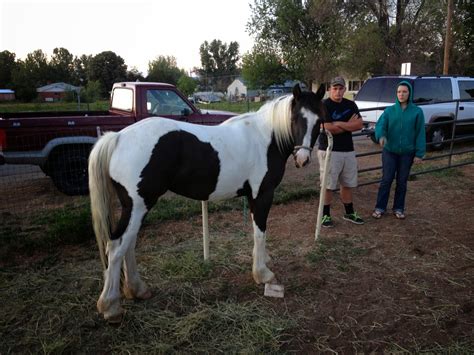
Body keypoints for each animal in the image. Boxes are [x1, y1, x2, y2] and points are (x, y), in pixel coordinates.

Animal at [88, 83, 326, 322]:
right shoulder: (262, 195)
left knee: (128, 245)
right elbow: (260, 232)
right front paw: (262, 274)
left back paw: (137, 289)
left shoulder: (252, 196)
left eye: (319, 120)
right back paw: (110, 305)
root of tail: (118, 137)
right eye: (296, 118)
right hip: (138, 206)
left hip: (136, 207)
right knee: (116, 247)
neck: (266, 138)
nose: (303, 159)